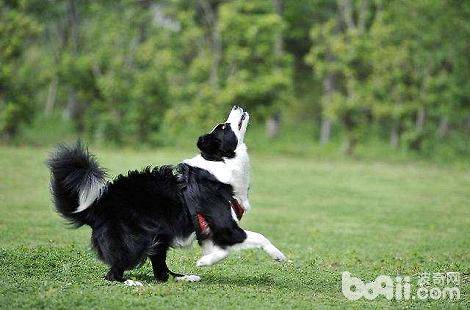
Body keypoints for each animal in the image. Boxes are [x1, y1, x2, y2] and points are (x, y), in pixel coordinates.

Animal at [46, 106, 286, 286]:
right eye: (224, 126)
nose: (236, 106)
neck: (221, 164)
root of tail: (97, 206)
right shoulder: (225, 226)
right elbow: (259, 237)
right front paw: (278, 255)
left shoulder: (210, 232)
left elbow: (223, 251)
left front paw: (206, 261)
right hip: (136, 240)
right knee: (113, 273)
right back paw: (131, 282)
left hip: (159, 235)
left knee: (161, 273)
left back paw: (184, 277)